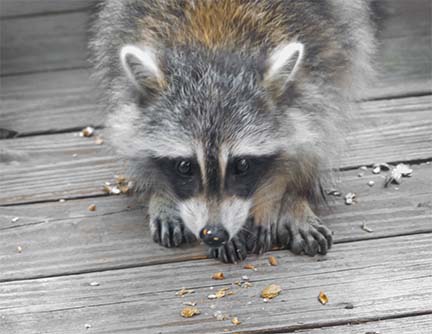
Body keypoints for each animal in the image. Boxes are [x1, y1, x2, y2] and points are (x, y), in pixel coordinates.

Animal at [91, 0, 378, 264]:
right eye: (185, 166)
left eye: (242, 165)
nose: (214, 233)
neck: (214, 42)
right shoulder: (125, 30)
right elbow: (130, 130)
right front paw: (162, 192)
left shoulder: (322, 45)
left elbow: (314, 127)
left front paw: (278, 194)